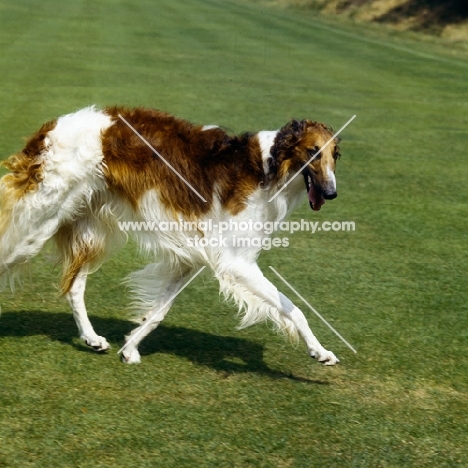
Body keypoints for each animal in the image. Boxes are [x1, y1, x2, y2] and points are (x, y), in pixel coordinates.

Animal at [1, 107, 342, 366]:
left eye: (335, 155)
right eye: (313, 152)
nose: (332, 193)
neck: (267, 167)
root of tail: (51, 127)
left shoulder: (192, 257)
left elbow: (156, 313)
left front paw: (130, 349)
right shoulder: (236, 263)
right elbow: (294, 308)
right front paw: (320, 351)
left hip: (89, 229)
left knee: (74, 287)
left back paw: (91, 337)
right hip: (36, 226)